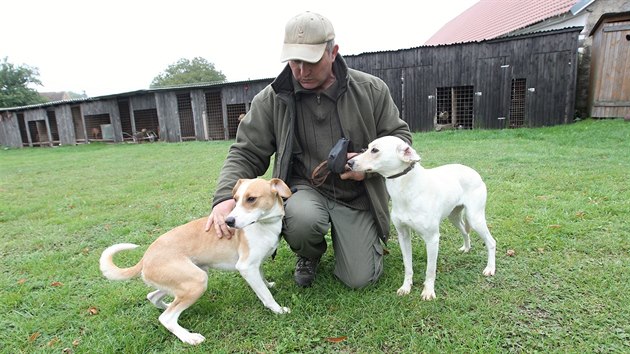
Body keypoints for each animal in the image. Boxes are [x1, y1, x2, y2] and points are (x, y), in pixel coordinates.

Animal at [100, 178, 294, 344]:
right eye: (235, 199)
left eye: (251, 199)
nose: (228, 221)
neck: (264, 225)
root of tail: (146, 256)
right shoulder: (246, 267)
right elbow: (266, 296)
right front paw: (278, 310)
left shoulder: (255, 266)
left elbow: (262, 280)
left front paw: (268, 284)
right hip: (197, 281)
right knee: (167, 318)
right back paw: (189, 337)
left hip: (185, 279)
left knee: (153, 297)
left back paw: (168, 305)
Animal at [348, 137, 496, 300]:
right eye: (366, 148)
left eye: (375, 150)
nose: (349, 163)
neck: (407, 189)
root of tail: (474, 172)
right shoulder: (403, 236)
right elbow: (408, 266)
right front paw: (406, 287)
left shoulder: (432, 239)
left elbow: (430, 270)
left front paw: (428, 292)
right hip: (454, 217)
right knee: (465, 231)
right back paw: (466, 248)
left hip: (475, 218)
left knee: (491, 242)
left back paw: (490, 268)